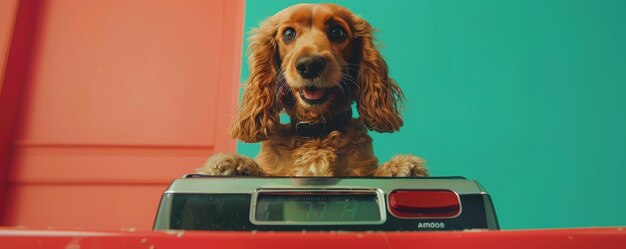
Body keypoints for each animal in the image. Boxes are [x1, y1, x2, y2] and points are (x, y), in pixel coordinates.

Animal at [197, 2, 426, 176]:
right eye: (289, 33)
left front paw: (398, 166)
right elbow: (261, 170)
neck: (317, 130)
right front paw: (234, 164)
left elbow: (373, 172)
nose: (309, 65)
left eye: (337, 32)